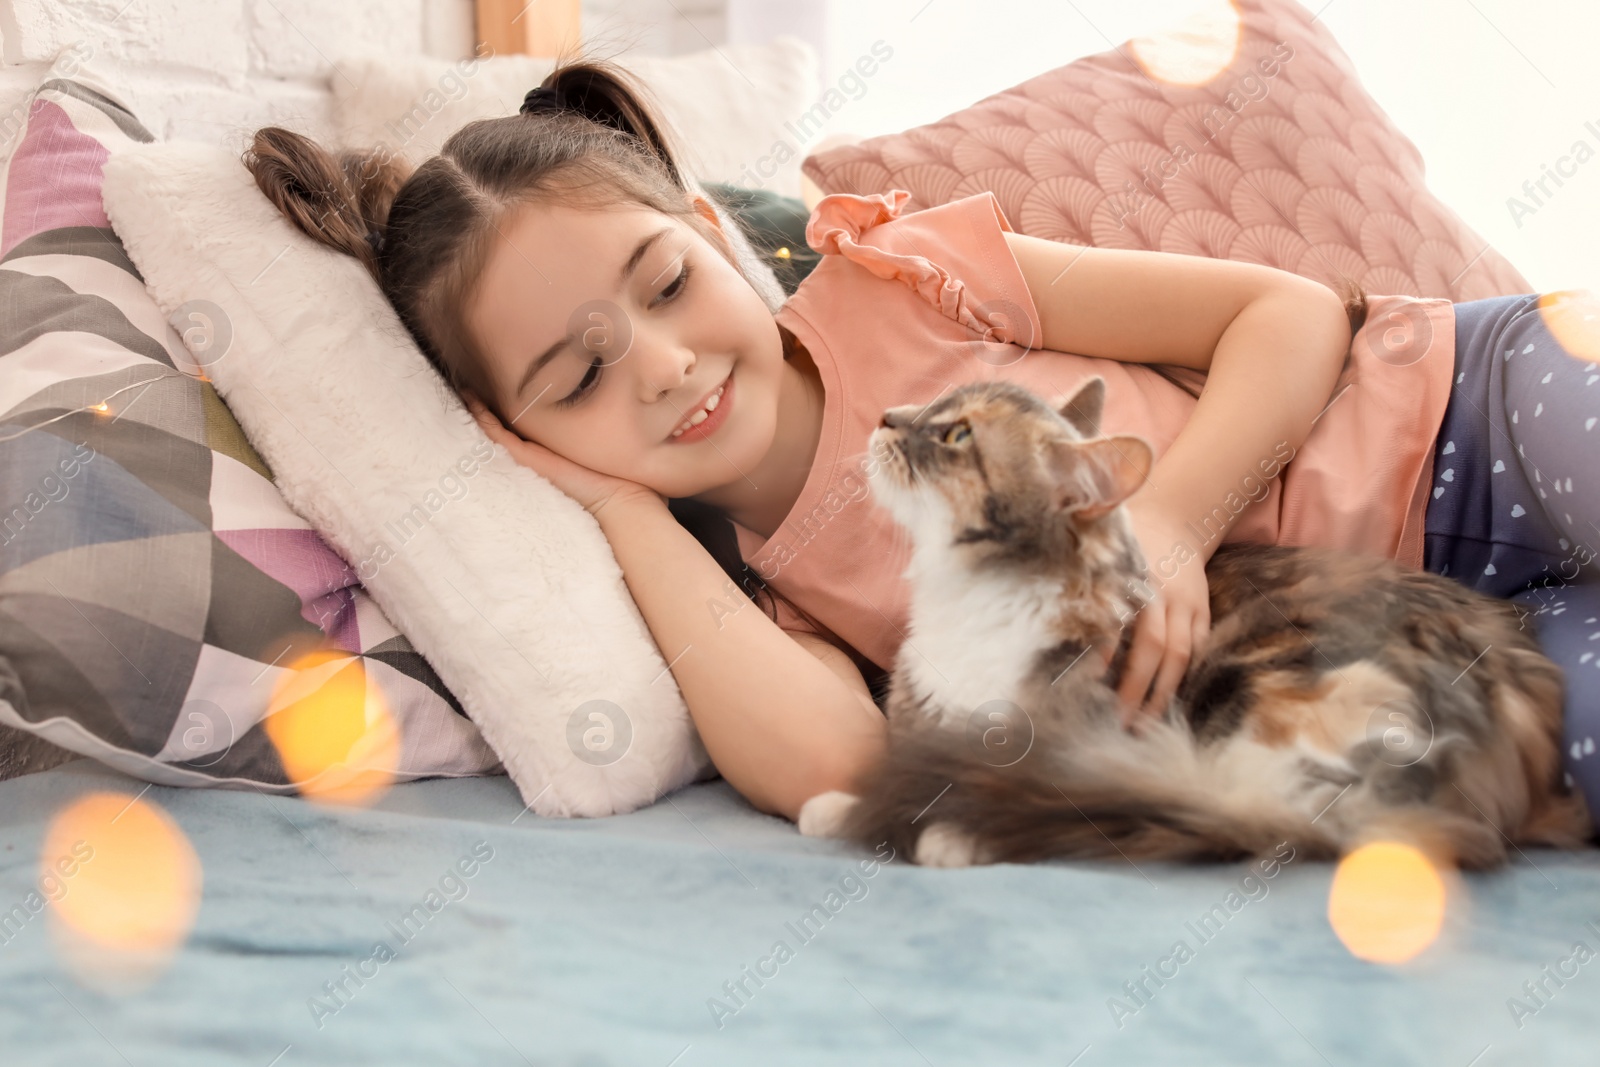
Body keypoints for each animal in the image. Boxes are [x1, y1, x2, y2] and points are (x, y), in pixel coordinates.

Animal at [796, 375, 1587, 870]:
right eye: (937, 403)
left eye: (956, 434)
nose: (885, 416)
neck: (969, 604)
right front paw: (838, 807)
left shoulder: (1079, 733)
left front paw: (951, 833)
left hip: (1259, 692)